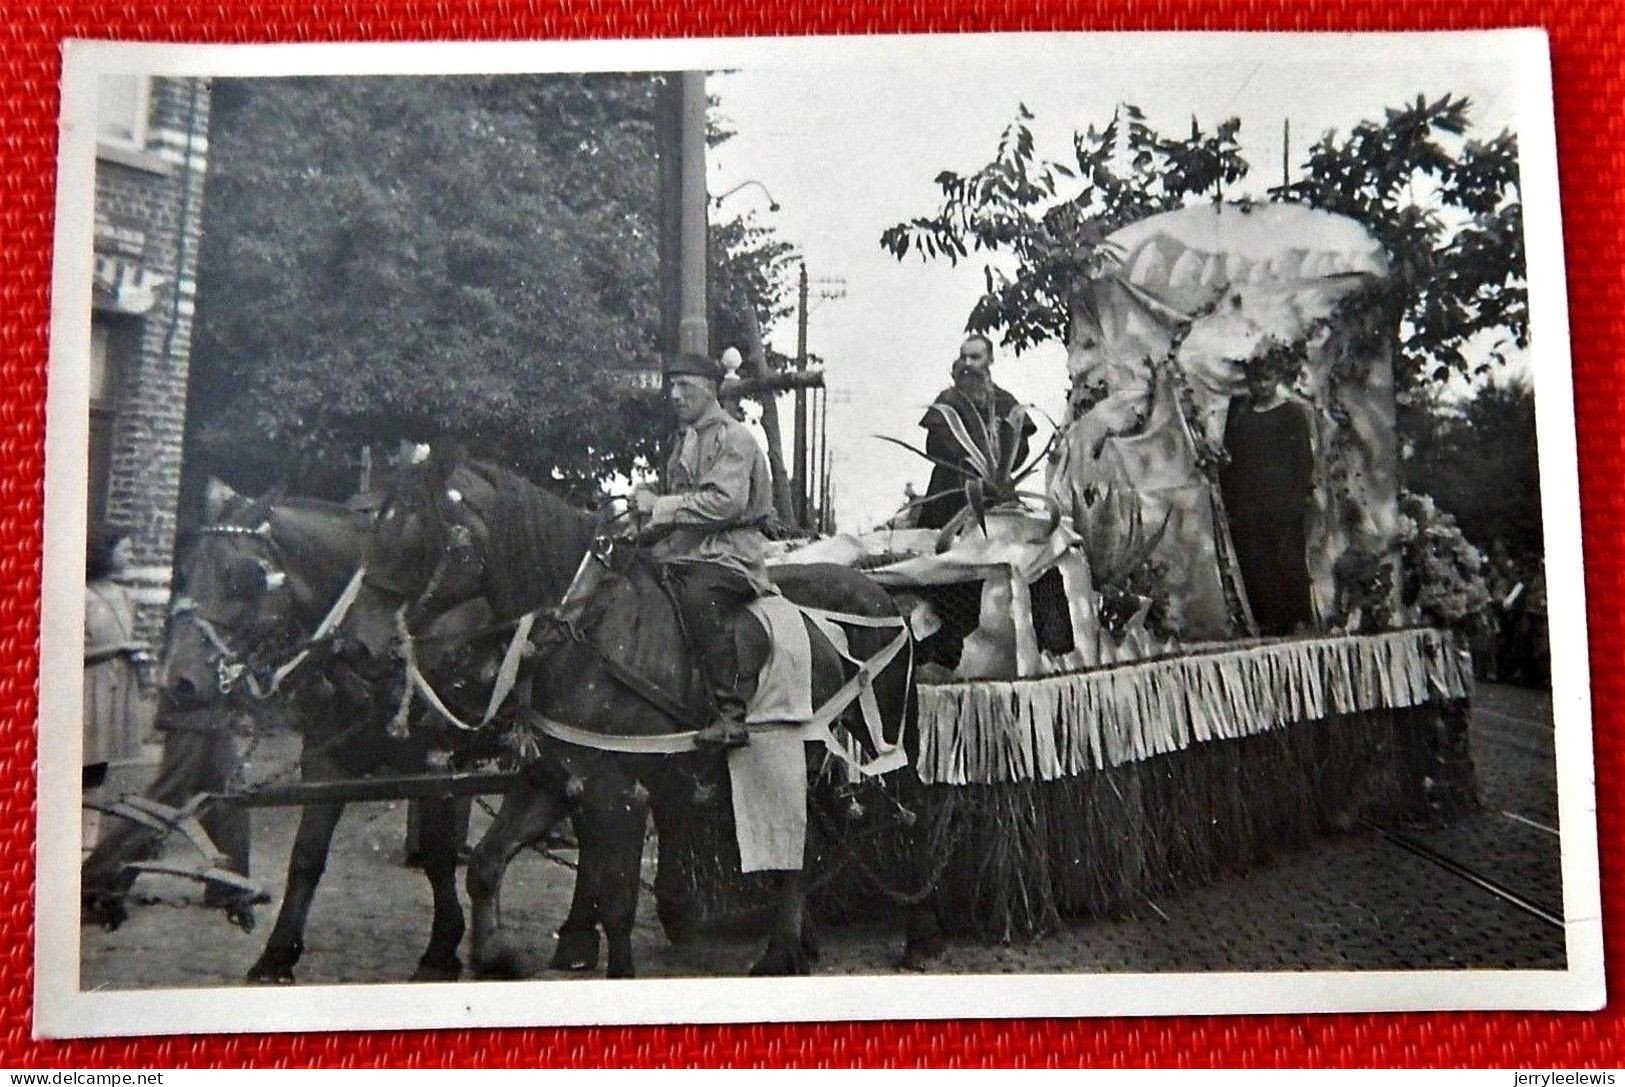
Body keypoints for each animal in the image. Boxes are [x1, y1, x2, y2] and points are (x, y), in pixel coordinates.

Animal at [342, 448, 949, 974]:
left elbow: (615, 902)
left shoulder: (620, 791)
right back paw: (790, 947)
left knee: (916, 820)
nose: (355, 647)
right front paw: (494, 956)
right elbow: (488, 867)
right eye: (374, 532)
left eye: (415, 535)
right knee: (807, 841)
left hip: (886, 743)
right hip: (804, 754)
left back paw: (917, 937)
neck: (587, 628)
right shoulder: (553, 778)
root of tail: (883, 596)